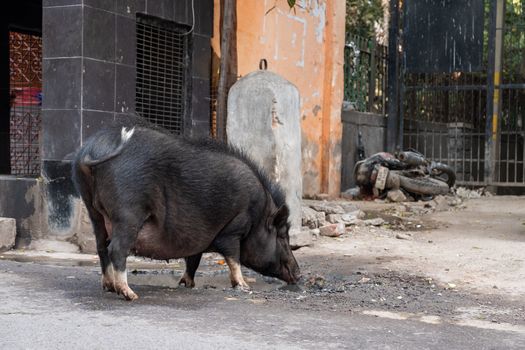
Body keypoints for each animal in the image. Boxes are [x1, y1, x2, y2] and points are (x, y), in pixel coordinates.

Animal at [71, 124, 298, 300]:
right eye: (282, 236)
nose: (299, 273)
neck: (259, 213)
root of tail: (93, 150)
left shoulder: (198, 239)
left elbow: (193, 260)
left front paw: (187, 284)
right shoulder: (233, 228)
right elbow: (234, 257)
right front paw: (243, 286)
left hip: (93, 210)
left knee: (101, 247)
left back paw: (109, 287)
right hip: (128, 212)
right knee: (116, 249)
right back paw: (130, 294)